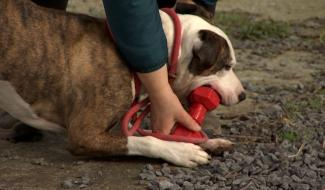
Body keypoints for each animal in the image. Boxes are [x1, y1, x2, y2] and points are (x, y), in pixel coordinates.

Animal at [0, 0, 243, 167]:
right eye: (226, 66)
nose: (243, 95)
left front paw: (211, 142)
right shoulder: (84, 135)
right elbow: (146, 140)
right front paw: (182, 151)